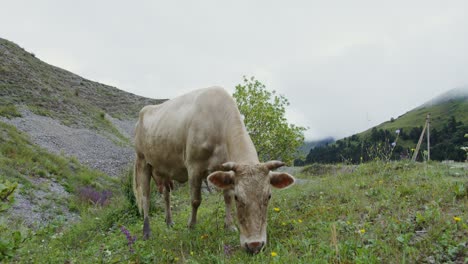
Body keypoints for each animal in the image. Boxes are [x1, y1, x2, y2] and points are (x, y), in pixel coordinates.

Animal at [132, 87, 294, 254]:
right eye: (238, 197)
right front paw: (191, 226)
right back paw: (146, 231)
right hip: (142, 160)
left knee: (166, 195)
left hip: (164, 168)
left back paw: (169, 222)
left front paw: (229, 226)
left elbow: (226, 197)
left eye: (268, 196)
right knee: (145, 196)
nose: (255, 245)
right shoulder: (194, 167)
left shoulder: (226, 169)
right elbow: (195, 200)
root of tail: (144, 111)